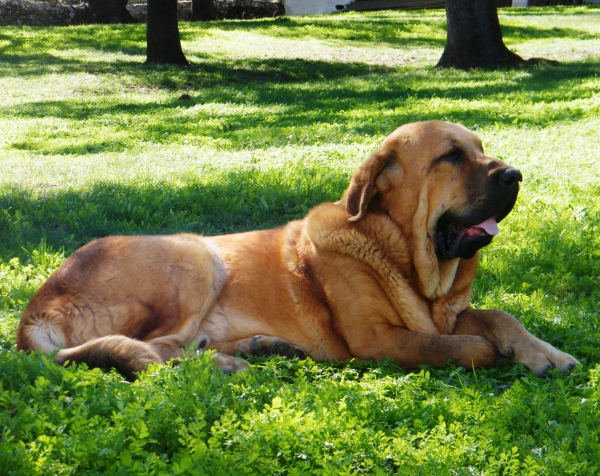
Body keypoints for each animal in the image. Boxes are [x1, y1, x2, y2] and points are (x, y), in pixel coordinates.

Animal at [16, 122, 580, 380]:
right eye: (450, 156)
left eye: (481, 149)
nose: (515, 175)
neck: (398, 254)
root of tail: (33, 312)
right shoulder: (379, 339)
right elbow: (465, 347)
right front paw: (491, 351)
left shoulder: (447, 314)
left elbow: (501, 317)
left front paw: (545, 353)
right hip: (194, 259)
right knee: (157, 350)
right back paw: (229, 363)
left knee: (179, 346)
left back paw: (257, 347)